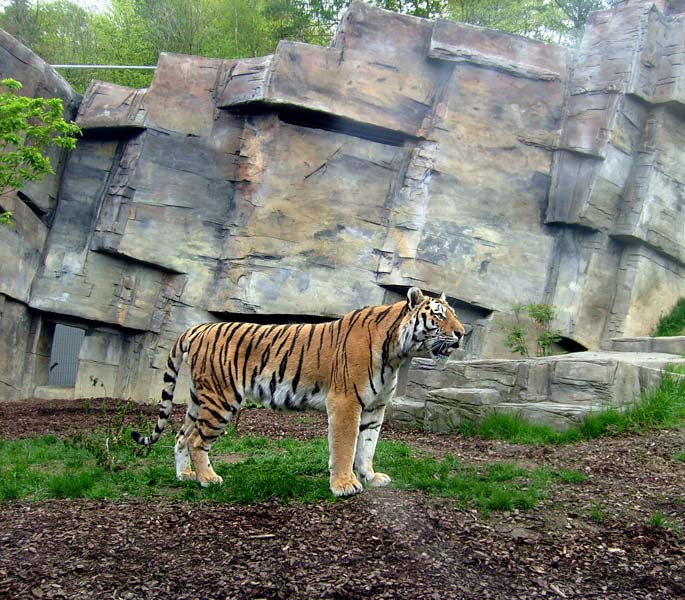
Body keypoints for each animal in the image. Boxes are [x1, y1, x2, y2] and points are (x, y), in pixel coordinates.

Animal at [134, 286, 464, 496]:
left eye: (453, 314)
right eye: (438, 315)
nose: (462, 333)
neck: (397, 354)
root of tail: (199, 328)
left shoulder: (374, 408)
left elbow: (367, 446)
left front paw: (370, 477)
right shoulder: (346, 402)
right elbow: (345, 446)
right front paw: (344, 485)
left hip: (199, 399)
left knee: (181, 436)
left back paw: (185, 476)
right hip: (221, 400)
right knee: (196, 440)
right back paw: (208, 479)